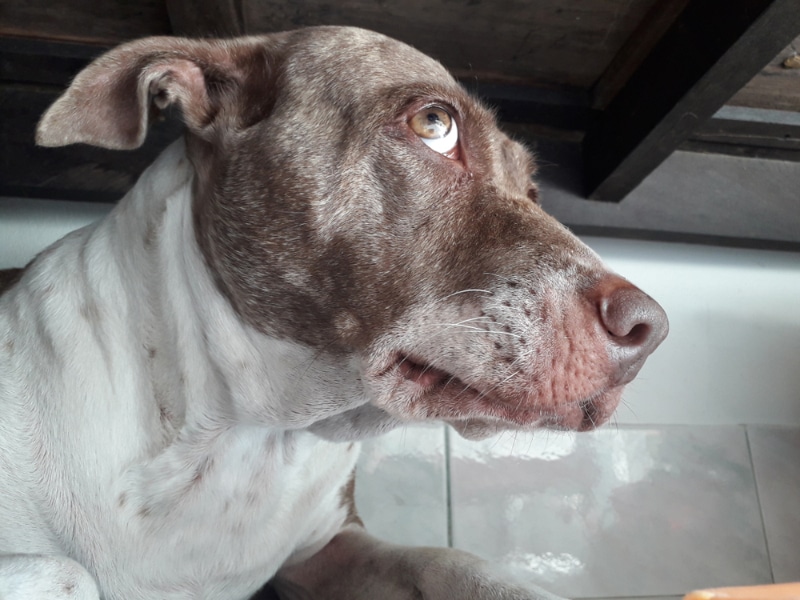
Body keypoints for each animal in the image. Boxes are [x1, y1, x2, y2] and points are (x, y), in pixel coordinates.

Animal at [0, 25, 668, 596]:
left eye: (532, 189)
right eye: (434, 124)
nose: (651, 329)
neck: (242, 434)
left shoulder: (331, 549)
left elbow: (455, 562)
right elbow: (68, 572)